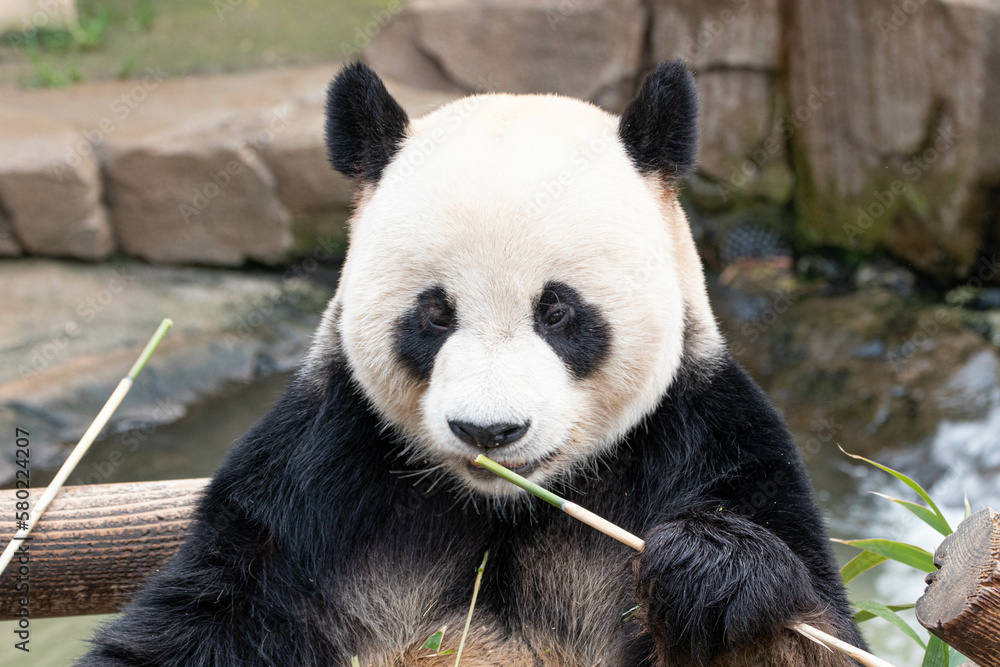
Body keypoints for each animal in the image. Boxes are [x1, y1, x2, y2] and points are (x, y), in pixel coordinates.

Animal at [77, 61, 865, 667]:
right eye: (434, 313)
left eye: (557, 312)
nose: (489, 432)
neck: (504, 504)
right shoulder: (315, 476)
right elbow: (198, 620)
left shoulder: (707, 439)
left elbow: (811, 627)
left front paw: (711, 571)